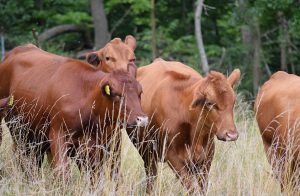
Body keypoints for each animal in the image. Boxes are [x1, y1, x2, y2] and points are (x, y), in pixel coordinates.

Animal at [0, 44, 148, 176]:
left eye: (140, 93)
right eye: (117, 94)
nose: (142, 119)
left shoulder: (91, 146)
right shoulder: (58, 135)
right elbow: (62, 172)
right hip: (20, 133)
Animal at [127, 59, 240, 193]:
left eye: (233, 102)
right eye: (209, 103)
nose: (231, 135)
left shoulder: (207, 156)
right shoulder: (172, 157)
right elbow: (191, 187)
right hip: (147, 153)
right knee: (151, 177)